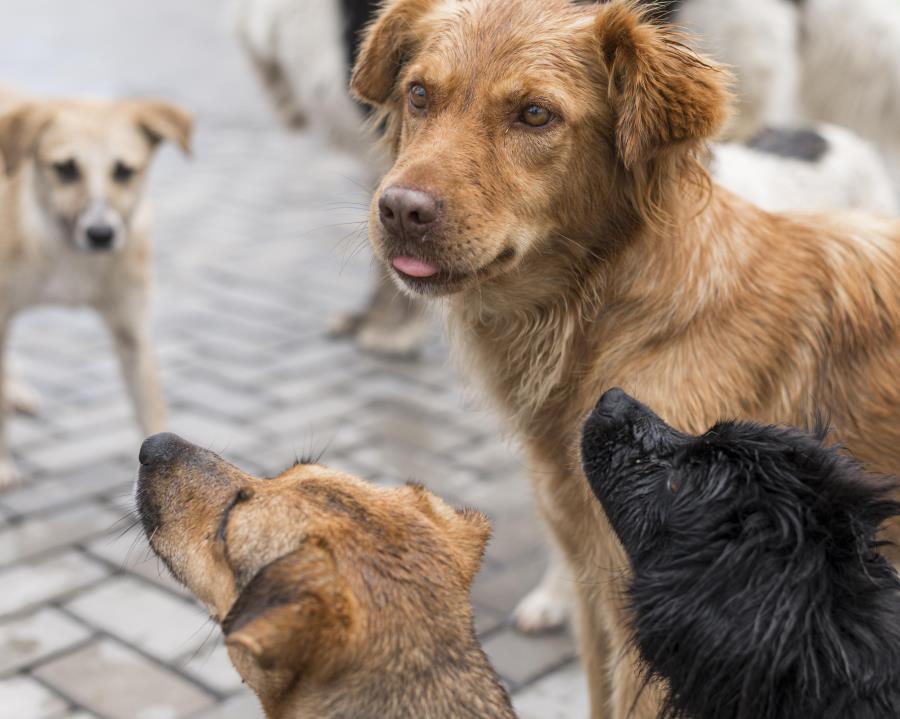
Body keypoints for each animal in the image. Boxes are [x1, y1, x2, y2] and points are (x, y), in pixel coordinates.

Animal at [0, 94, 192, 490]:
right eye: (65, 169)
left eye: (124, 171)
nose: (101, 234)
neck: (69, 253)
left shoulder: (133, 331)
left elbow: (152, 410)